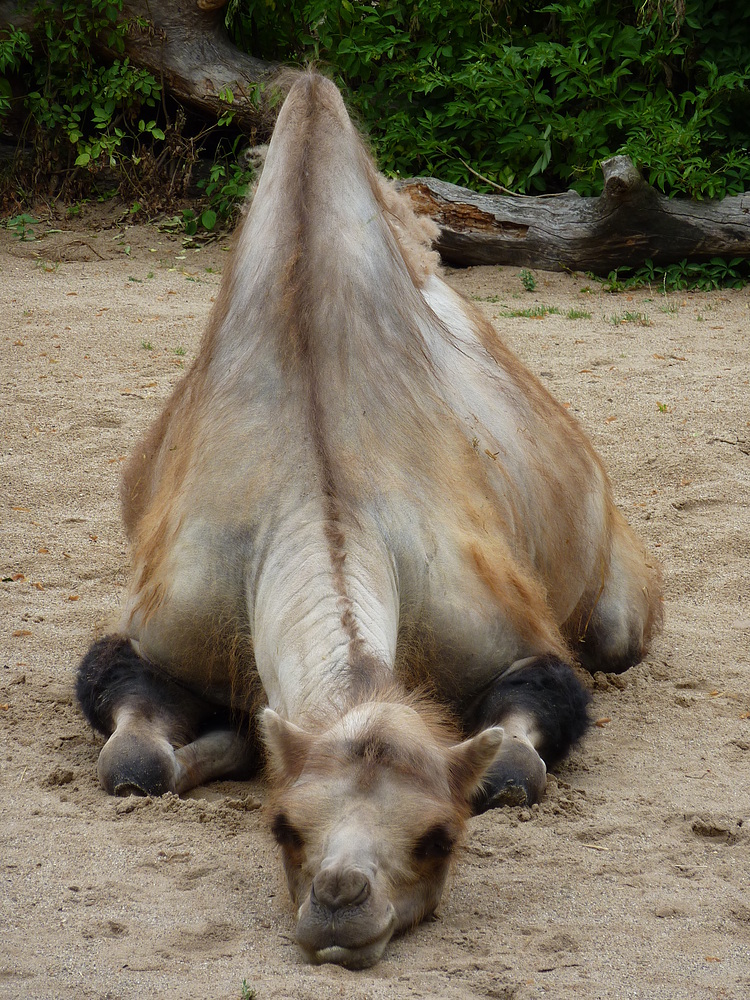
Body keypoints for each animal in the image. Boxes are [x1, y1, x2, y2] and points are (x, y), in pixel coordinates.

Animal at [76, 72, 664, 968]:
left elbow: (513, 769)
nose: (341, 903)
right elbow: (136, 762)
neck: (316, 492)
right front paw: (232, 740)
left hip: (619, 607)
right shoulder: (156, 631)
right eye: (283, 828)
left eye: (440, 838)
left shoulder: (510, 636)